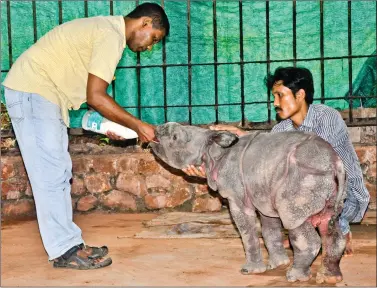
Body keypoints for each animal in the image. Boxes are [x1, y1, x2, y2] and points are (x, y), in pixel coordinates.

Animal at [151, 121, 346, 284]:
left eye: (175, 137)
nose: (157, 128)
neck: (212, 151)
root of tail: (335, 161)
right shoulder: (264, 194)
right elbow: (270, 230)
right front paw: (277, 264)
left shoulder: (237, 197)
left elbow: (246, 231)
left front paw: (250, 270)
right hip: (319, 177)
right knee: (329, 221)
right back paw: (330, 278)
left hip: (303, 175)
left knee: (293, 219)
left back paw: (294, 277)